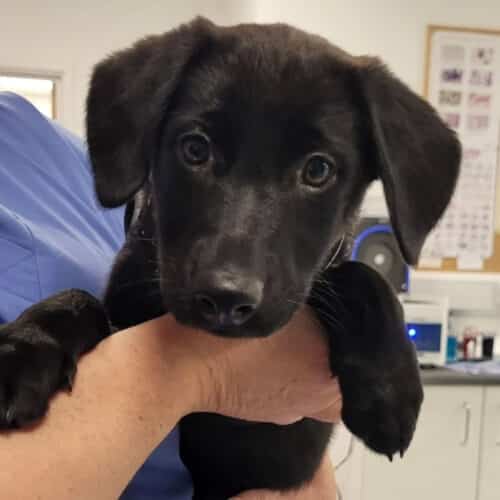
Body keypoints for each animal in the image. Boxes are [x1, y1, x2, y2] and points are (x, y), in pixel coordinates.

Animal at [0, 17, 460, 498]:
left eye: (318, 170)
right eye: (195, 149)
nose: (225, 298)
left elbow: (362, 275)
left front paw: (390, 387)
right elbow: (78, 298)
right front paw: (25, 346)